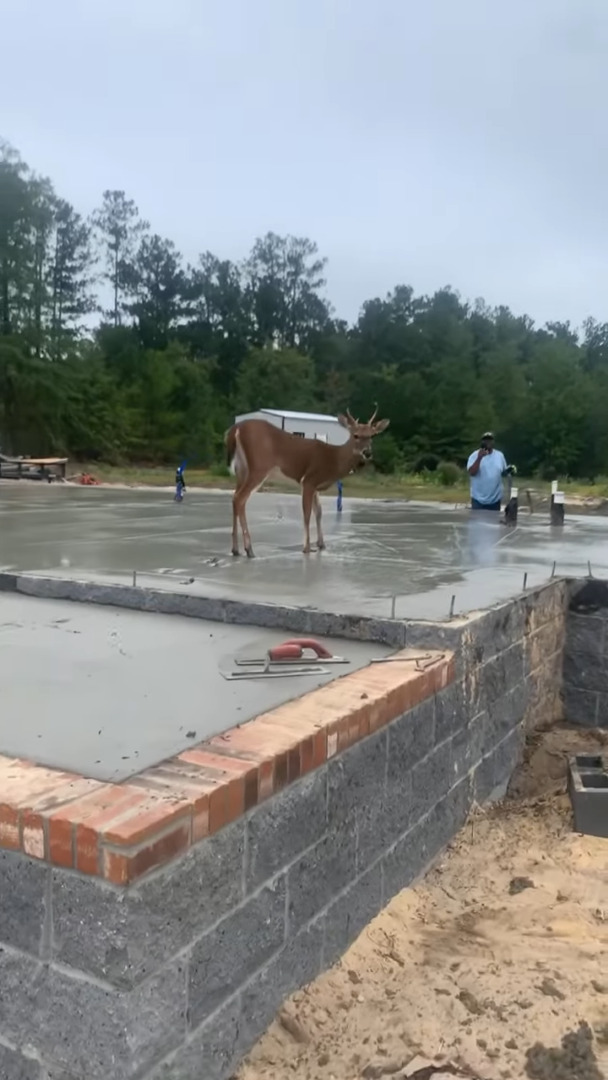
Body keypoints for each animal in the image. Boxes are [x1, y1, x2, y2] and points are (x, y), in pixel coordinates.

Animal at [223, 406, 390, 557]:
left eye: (372, 436)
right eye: (355, 435)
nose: (367, 453)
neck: (333, 459)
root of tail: (236, 428)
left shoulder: (315, 485)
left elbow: (319, 512)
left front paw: (321, 544)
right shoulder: (309, 480)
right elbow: (307, 513)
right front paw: (307, 548)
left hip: (242, 469)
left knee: (235, 497)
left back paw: (235, 549)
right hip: (259, 467)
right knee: (240, 498)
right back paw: (249, 549)